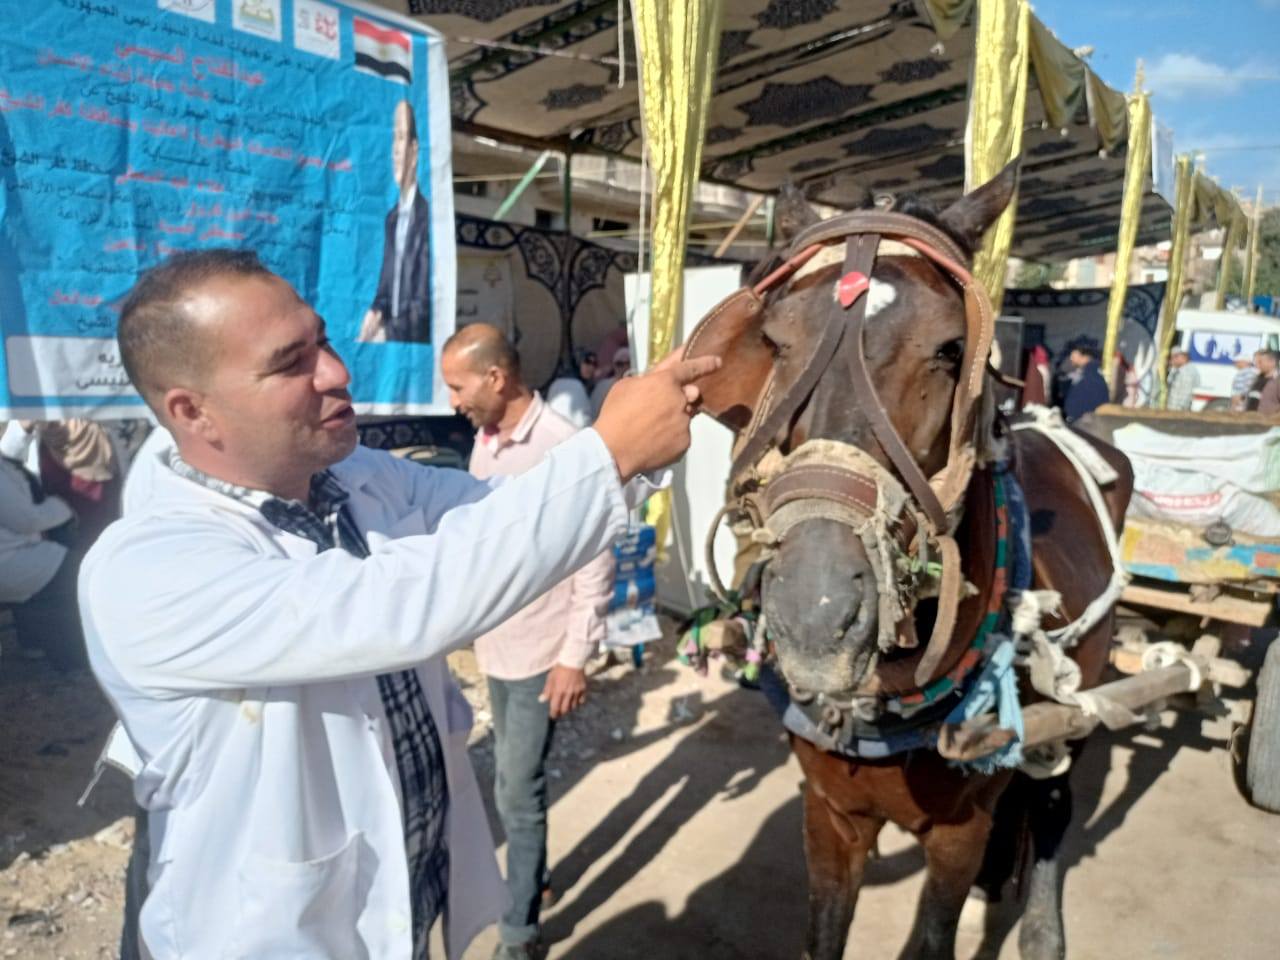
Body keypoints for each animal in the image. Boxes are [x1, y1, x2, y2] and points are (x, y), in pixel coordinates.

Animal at [691, 167, 1131, 960]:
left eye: (953, 348)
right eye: (771, 340)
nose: (815, 613)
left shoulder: (957, 832)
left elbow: (932, 937)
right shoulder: (830, 815)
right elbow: (823, 933)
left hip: (1080, 706)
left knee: (1052, 799)